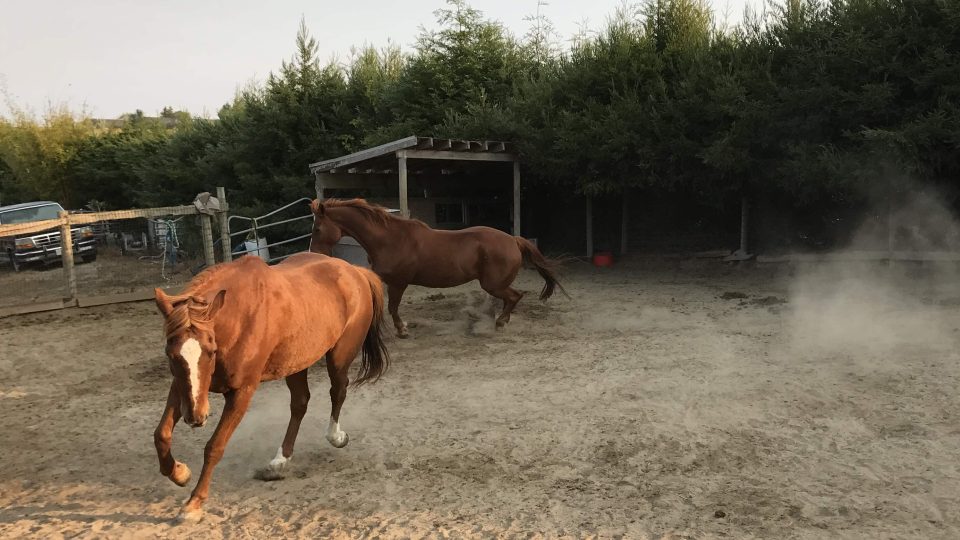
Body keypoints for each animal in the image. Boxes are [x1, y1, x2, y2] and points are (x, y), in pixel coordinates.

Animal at [152, 253, 388, 524]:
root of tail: (355, 271)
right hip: (296, 362)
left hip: (340, 356)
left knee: (338, 390)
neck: (237, 318)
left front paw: (194, 503)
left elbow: (214, 447)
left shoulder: (242, 392)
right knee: (300, 403)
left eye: (211, 351)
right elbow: (161, 435)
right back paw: (279, 461)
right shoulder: (182, 387)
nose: (196, 417)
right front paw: (180, 473)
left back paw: (335, 436)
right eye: (170, 355)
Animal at [308, 196, 568, 336]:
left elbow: (393, 308)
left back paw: (500, 323)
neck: (390, 239)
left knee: (515, 296)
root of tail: (513, 239)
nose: (314, 254)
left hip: (493, 284)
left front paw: (402, 330)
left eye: (317, 229)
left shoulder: (398, 283)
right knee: (511, 298)